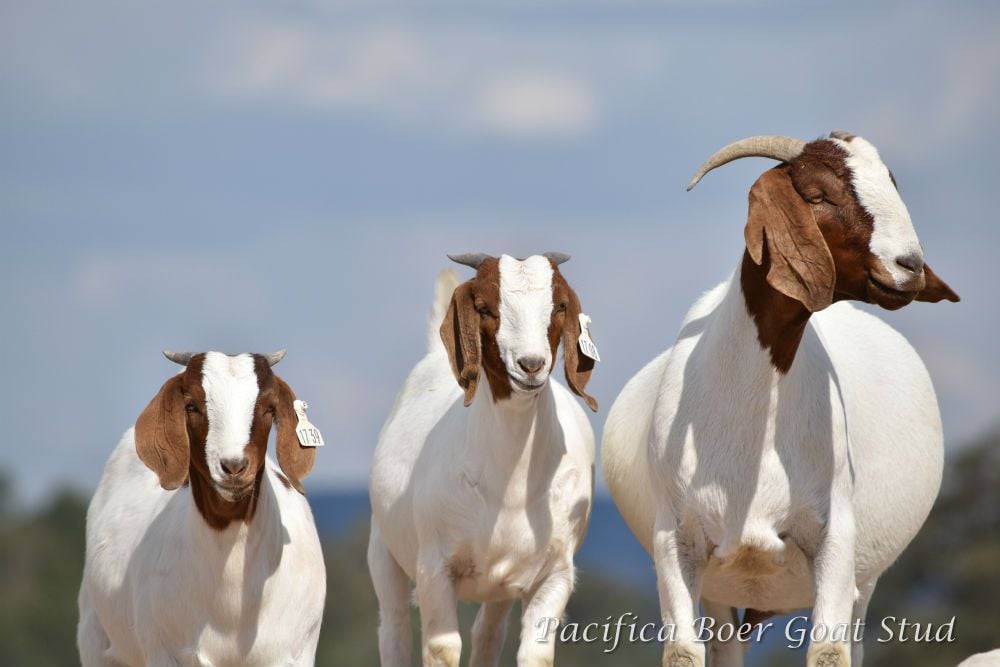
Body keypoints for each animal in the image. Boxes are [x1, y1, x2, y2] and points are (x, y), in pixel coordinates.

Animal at [77, 350, 326, 667]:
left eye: (269, 408)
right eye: (192, 406)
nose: (233, 467)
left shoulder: (294, 653)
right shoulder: (164, 651)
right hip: (94, 637)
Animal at [368, 253, 599, 667]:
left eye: (559, 306)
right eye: (486, 308)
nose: (531, 364)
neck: (509, 487)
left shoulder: (555, 571)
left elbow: (536, 653)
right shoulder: (435, 569)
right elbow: (442, 649)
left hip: (502, 585)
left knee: (488, 633)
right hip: (383, 548)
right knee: (393, 628)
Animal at [602, 132, 959, 667]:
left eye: (890, 184)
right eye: (816, 195)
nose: (909, 267)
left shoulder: (835, 538)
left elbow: (829, 650)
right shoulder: (676, 540)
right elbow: (682, 651)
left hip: (864, 582)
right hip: (722, 589)